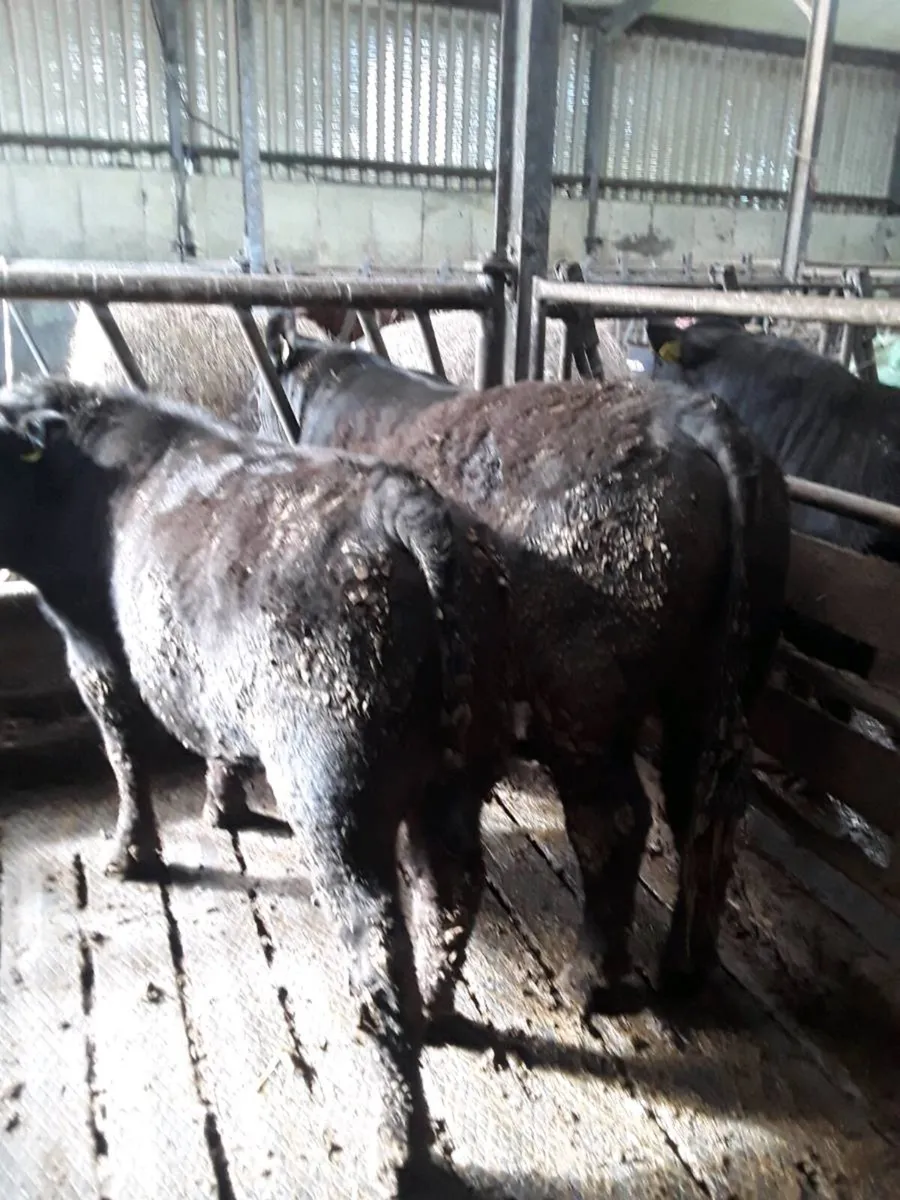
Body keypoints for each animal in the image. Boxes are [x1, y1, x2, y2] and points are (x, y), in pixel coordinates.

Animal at [0, 375, 514, 1195]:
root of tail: (404, 502)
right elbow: (215, 734)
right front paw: (223, 803)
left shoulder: (93, 645)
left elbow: (123, 749)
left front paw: (130, 852)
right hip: (459, 776)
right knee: (452, 890)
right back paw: (439, 1016)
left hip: (335, 797)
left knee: (379, 948)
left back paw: (396, 1150)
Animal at [254, 324, 792, 1005]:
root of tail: (702, 418)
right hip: (719, 678)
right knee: (704, 800)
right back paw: (684, 969)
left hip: (583, 700)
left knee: (614, 819)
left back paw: (590, 976)